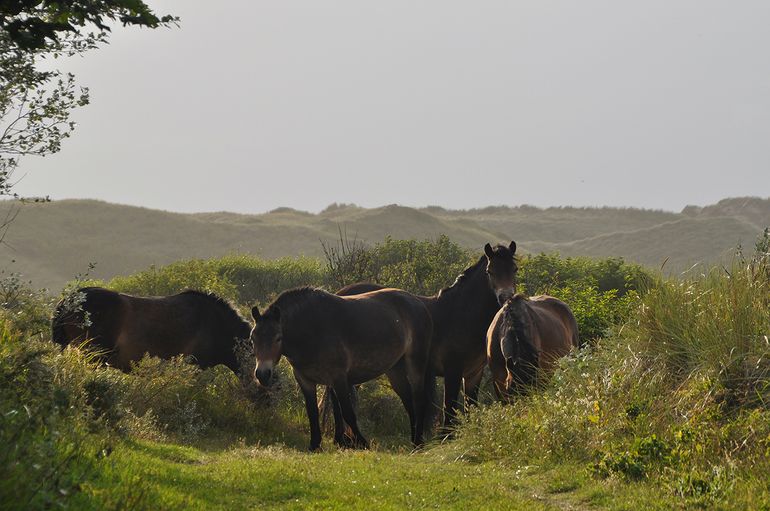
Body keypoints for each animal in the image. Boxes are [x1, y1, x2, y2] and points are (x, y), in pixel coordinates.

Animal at [250, 288, 432, 452]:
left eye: (278, 338)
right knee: (408, 403)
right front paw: (314, 445)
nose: (262, 374)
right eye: (253, 338)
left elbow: (347, 412)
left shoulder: (338, 378)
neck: (312, 329)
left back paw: (419, 443)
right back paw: (414, 441)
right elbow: (312, 412)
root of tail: (418, 303)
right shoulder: (305, 380)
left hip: (415, 363)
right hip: (395, 369)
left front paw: (362, 443)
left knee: (418, 400)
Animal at [336, 242, 516, 430]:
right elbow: (449, 410)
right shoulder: (452, 371)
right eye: (490, 271)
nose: (506, 297)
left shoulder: (473, 373)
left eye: (514, 269)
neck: (458, 313)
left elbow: (469, 408)